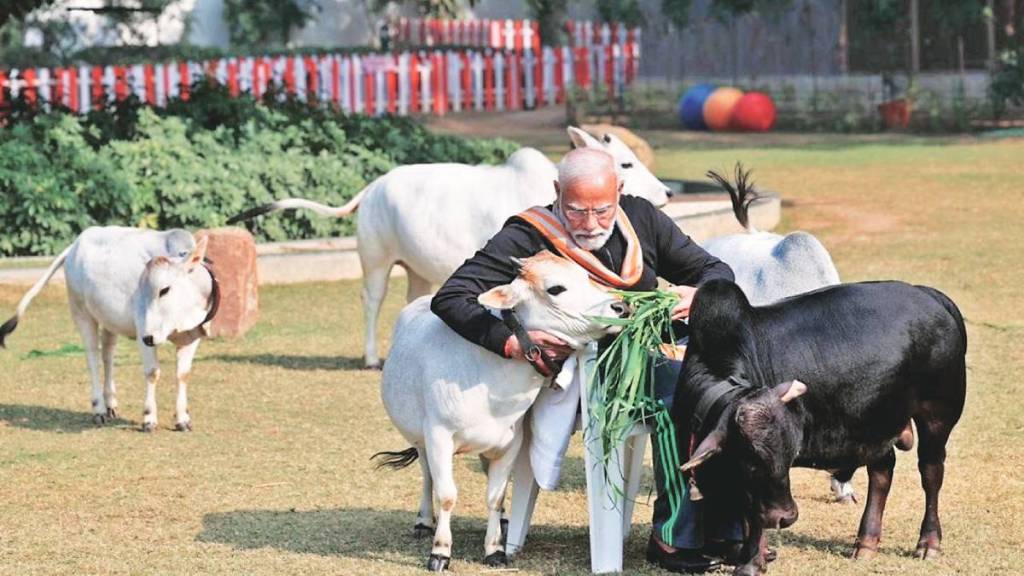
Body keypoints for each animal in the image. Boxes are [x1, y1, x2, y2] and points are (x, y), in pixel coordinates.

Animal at [1, 226, 218, 428]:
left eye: (164, 290)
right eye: (141, 288)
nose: (149, 338)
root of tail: (75, 245)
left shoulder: (191, 336)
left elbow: (183, 374)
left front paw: (182, 419)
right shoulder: (144, 332)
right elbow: (152, 372)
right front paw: (149, 418)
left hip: (109, 322)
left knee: (108, 355)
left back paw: (110, 403)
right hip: (82, 314)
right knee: (93, 358)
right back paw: (99, 409)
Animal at [227, 126, 667, 366]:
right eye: (625, 163)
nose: (665, 193)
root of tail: (373, 186)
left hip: (415, 270)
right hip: (375, 260)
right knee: (371, 301)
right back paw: (370, 357)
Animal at [374, 251, 622, 569]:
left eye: (585, 276)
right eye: (556, 288)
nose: (620, 306)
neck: (489, 380)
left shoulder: (510, 444)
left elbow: (496, 497)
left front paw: (494, 549)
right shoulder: (438, 436)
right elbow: (446, 495)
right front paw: (440, 551)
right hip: (419, 439)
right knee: (428, 475)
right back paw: (423, 521)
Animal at [671, 276, 966, 569]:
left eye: (789, 456)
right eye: (751, 462)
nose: (787, 517)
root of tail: (928, 294)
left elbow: (755, 518)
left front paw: (752, 562)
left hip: (937, 416)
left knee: (931, 472)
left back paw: (928, 543)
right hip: (877, 425)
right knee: (882, 472)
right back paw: (866, 543)